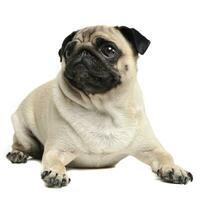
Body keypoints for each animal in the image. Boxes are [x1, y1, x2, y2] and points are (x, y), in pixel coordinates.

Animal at [7, 25, 193, 188]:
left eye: (109, 50)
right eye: (68, 51)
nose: (83, 51)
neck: (103, 109)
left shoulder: (151, 148)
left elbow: (166, 156)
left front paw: (174, 169)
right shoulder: (57, 149)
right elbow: (54, 161)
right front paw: (56, 173)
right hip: (22, 130)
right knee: (21, 145)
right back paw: (18, 154)